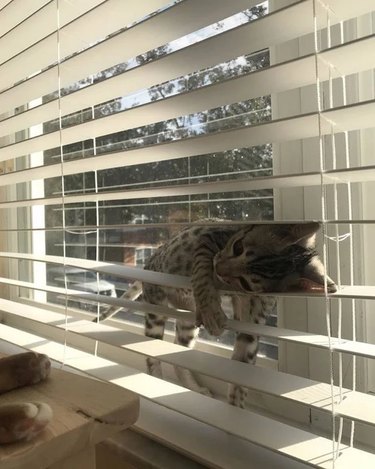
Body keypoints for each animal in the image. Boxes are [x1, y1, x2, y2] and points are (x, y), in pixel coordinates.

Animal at [95, 222, 336, 406]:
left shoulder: (252, 324)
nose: (219, 267)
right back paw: (157, 381)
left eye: (246, 283)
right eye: (238, 247)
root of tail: (150, 261)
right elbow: (202, 271)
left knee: (177, 354)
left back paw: (192, 386)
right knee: (152, 356)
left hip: (187, 324)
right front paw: (211, 308)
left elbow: (243, 367)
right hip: (156, 307)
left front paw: (236, 406)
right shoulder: (208, 237)